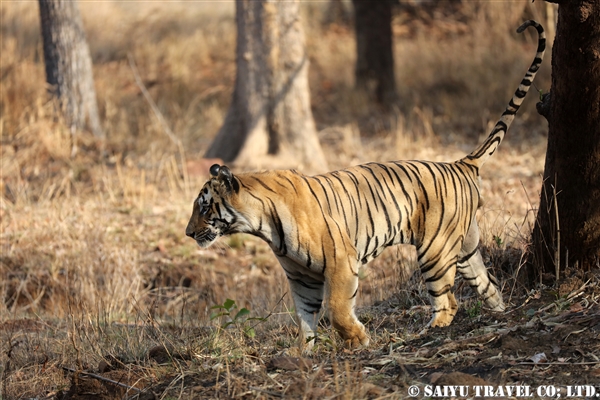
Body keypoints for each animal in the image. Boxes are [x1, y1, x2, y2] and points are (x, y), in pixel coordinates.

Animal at [186, 21, 544, 346]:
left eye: (203, 207)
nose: (188, 233)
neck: (261, 224)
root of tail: (460, 164)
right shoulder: (301, 277)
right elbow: (304, 318)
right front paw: (303, 355)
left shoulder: (342, 260)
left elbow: (336, 308)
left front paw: (358, 339)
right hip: (465, 247)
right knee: (489, 286)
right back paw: (500, 316)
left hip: (435, 250)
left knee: (447, 301)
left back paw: (427, 333)